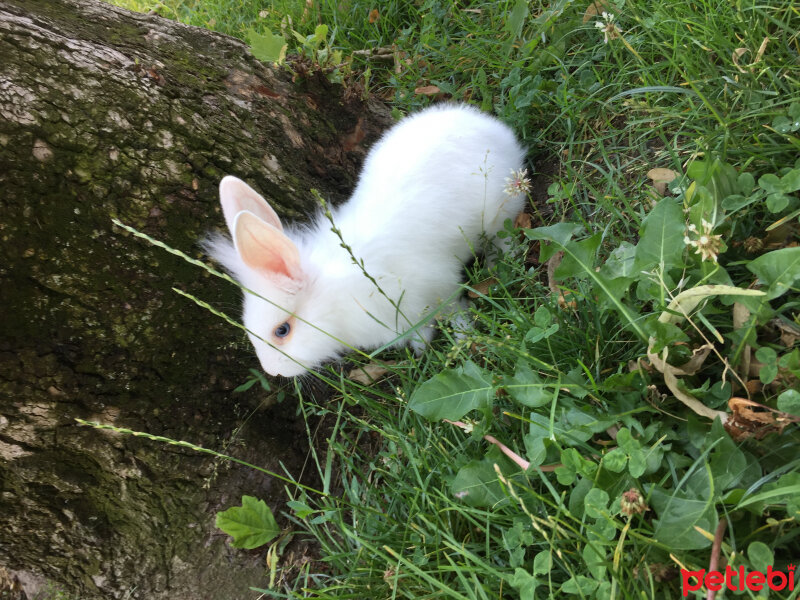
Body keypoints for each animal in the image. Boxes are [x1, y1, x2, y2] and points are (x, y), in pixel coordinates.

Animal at [209, 103, 528, 376]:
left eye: (282, 331)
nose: (273, 371)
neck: (336, 295)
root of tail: (493, 128)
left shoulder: (439, 286)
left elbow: (454, 310)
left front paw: (464, 336)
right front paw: (421, 346)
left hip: (500, 211)